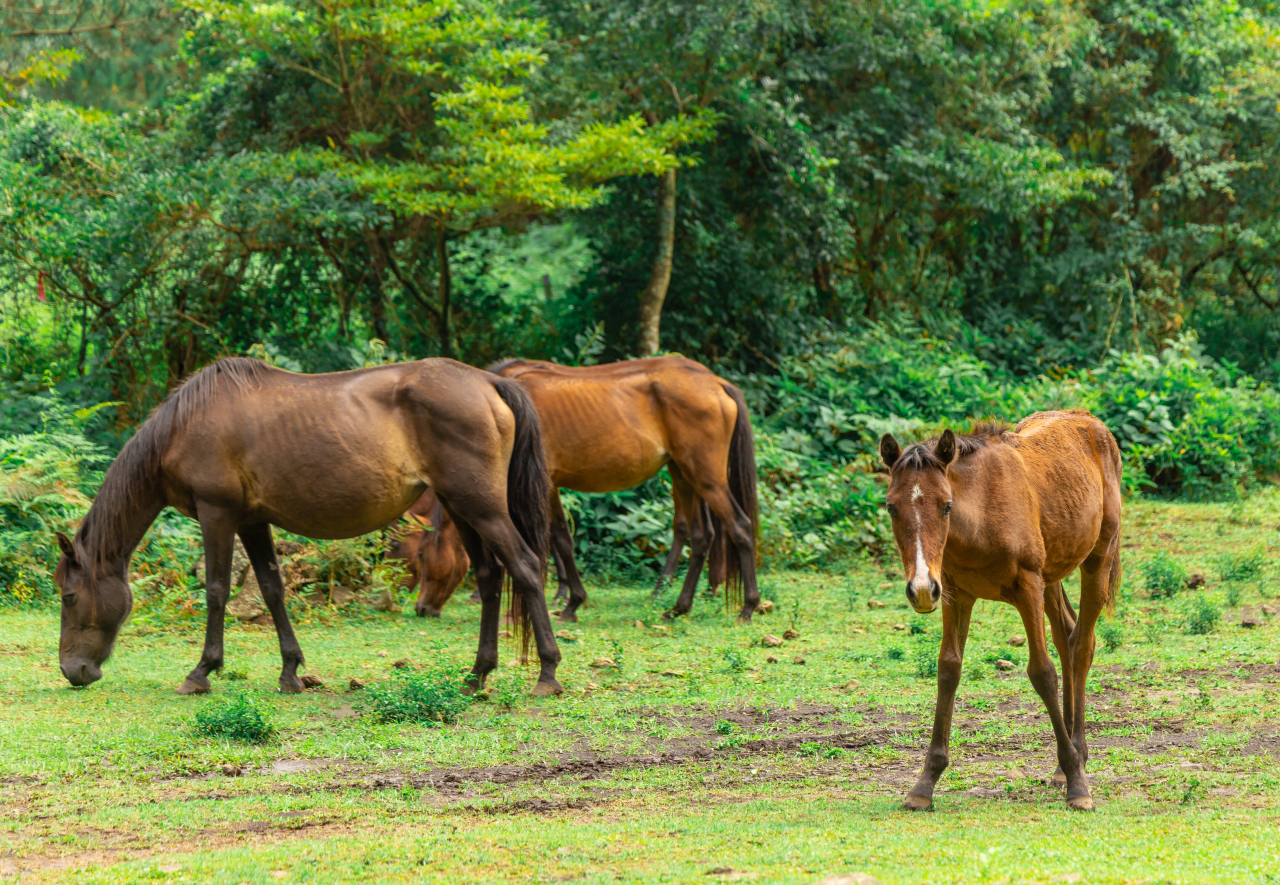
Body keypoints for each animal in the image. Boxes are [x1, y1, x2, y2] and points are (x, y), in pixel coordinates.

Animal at [483, 358, 752, 622]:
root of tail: (717, 383)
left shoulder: (545, 485)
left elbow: (558, 539)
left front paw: (570, 603)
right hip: (685, 476)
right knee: (701, 535)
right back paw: (679, 607)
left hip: (707, 480)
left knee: (740, 526)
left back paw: (747, 607)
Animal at [880, 412, 1121, 814]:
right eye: (891, 507)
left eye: (946, 505)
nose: (920, 589)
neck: (979, 516)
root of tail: (1089, 420)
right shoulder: (955, 594)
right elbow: (948, 670)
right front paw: (925, 782)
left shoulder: (1027, 585)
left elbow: (1042, 673)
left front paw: (1077, 784)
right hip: (1052, 575)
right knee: (1067, 636)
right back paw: (1064, 764)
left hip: (1096, 560)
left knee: (1081, 647)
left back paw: (1076, 757)